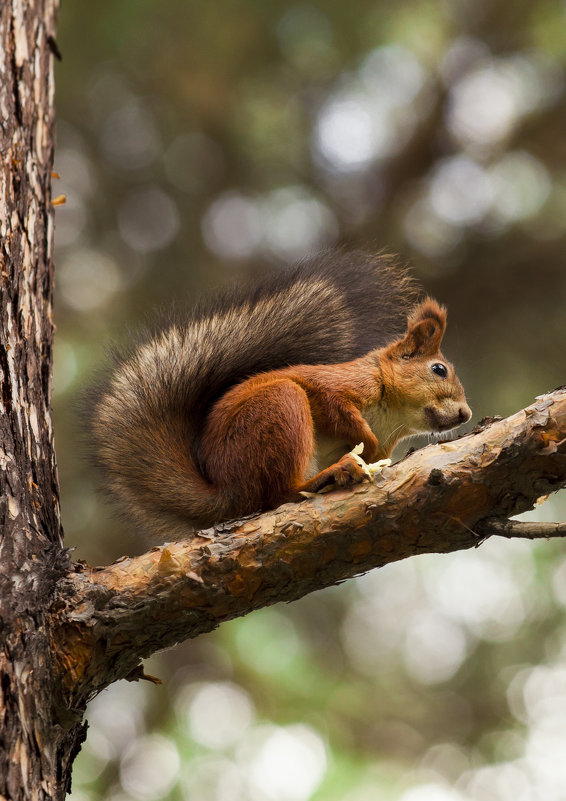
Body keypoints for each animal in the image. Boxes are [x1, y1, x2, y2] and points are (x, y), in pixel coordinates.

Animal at [86, 250, 472, 536]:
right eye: (439, 369)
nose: (466, 414)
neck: (393, 417)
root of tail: (228, 491)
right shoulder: (342, 384)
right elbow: (333, 405)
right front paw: (366, 443)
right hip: (280, 408)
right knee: (279, 494)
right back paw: (334, 472)